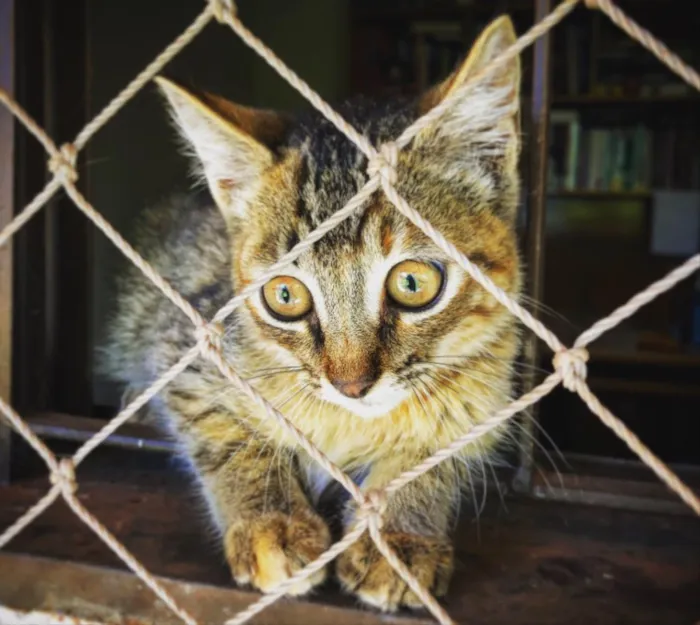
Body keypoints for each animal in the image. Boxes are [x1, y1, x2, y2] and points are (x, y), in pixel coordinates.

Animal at [102, 15, 520, 616]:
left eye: (413, 283)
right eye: (285, 296)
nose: (351, 384)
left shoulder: (490, 389)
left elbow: (441, 450)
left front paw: (401, 535)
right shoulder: (186, 344)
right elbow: (225, 431)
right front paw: (272, 524)